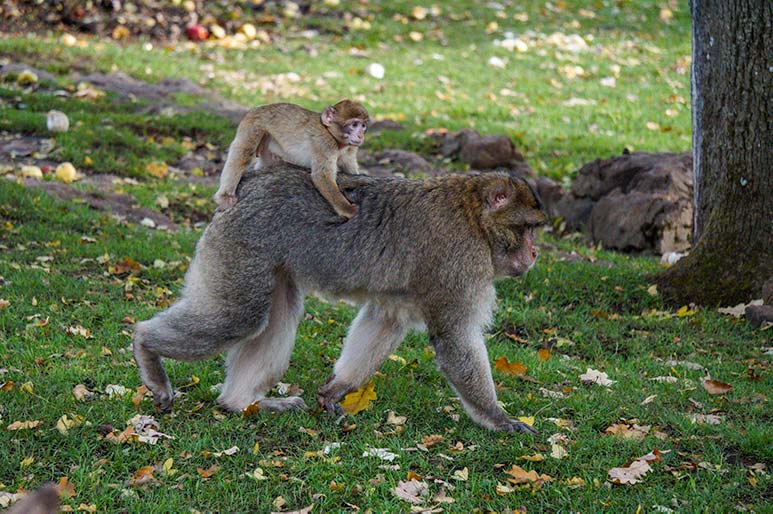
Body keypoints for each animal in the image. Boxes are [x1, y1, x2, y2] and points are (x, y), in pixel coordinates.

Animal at [213, 99, 366, 217]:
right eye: (354, 124)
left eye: (363, 126)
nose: (360, 135)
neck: (332, 135)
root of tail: (258, 108)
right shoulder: (325, 144)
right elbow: (321, 176)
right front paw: (347, 209)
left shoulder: (350, 149)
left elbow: (349, 168)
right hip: (254, 125)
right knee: (243, 152)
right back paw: (225, 196)